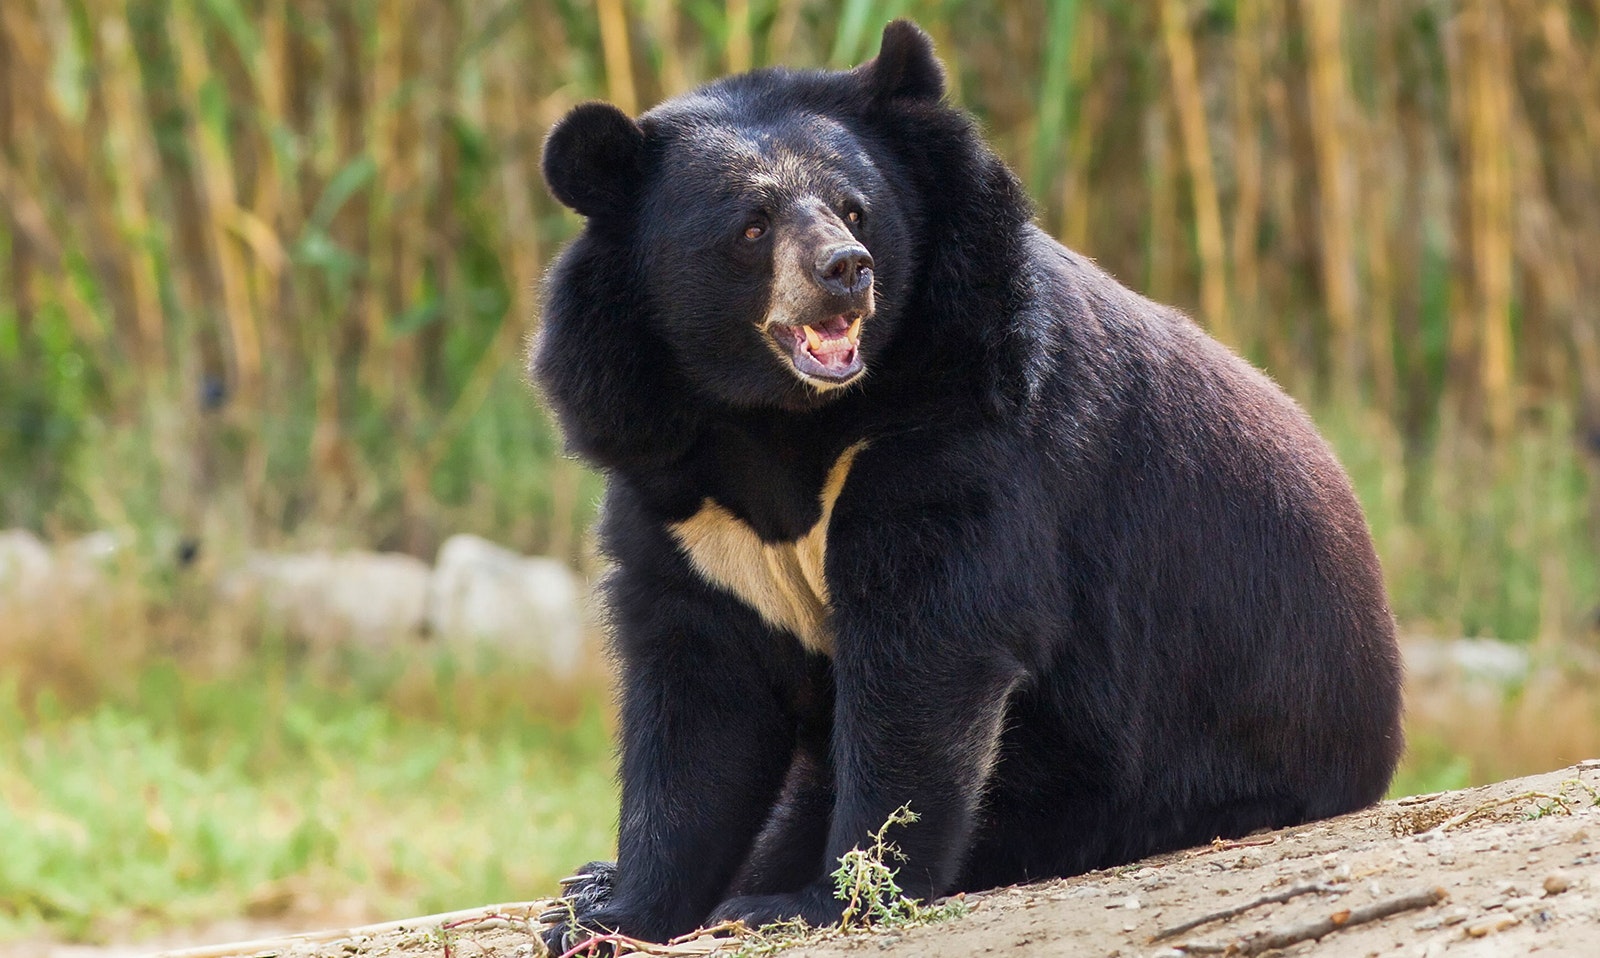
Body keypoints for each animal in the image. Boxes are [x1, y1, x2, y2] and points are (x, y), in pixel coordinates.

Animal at [534, 18, 1401, 946]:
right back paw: (584, 880)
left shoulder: (962, 433)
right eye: (752, 226)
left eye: (854, 208)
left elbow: (929, 656)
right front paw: (611, 913)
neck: (782, 419)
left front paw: (812, 899)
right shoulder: (679, 494)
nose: (846, 268)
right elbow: (697, 700)